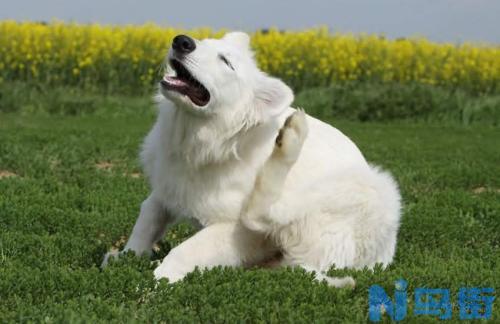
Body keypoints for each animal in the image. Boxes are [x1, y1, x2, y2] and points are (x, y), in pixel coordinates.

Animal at [102, 31, 402, 288]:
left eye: (226, 62)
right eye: (202, 42)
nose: (182, 41)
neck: (200, 142)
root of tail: (380, 258)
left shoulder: (235, 230)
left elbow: (184, 250)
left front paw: (159, 278)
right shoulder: (167, 189)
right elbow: (148, 216)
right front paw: (127, 255)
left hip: (360, 188)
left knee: (260, 213)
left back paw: (290, 140)